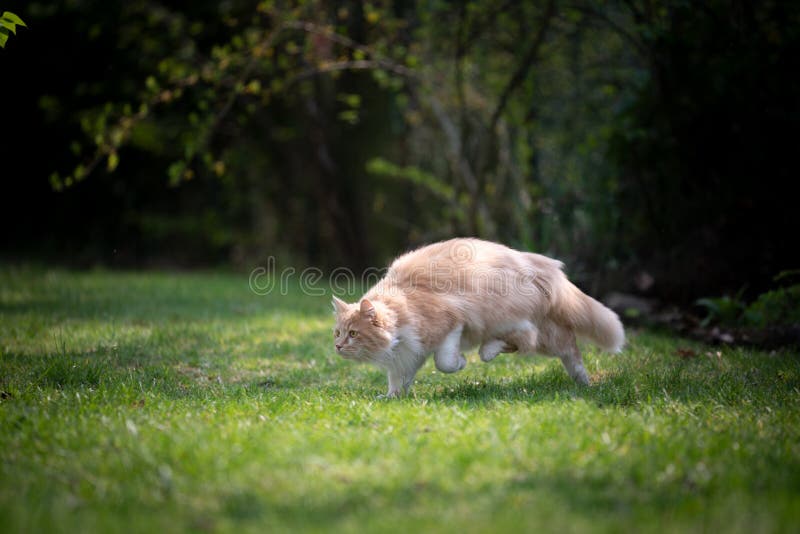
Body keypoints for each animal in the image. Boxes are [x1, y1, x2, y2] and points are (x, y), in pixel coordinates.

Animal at [332, 239, 624, 398]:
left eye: (353, 334)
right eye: (338, 332)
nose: (337, 346)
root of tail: (539, 264)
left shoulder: (451, 323)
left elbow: (445, 362)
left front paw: (461, 362)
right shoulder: (407, 355)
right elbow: (398, 380)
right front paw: (391, 397)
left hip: (512, 319)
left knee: (531, 339)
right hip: (541, 333)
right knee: (557, 345)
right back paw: (583, 383)